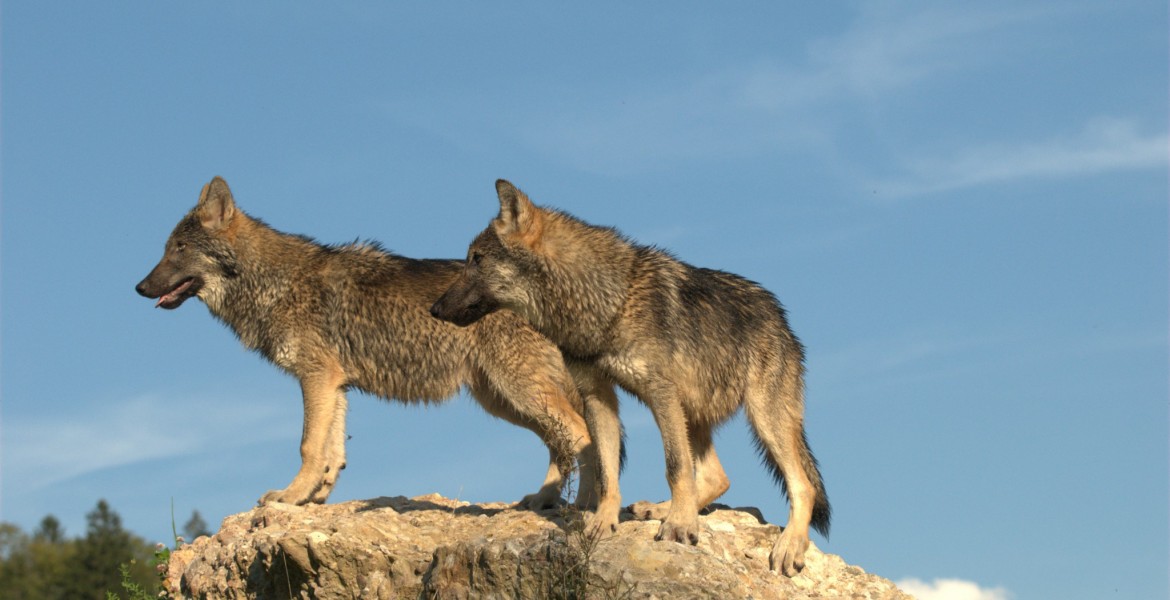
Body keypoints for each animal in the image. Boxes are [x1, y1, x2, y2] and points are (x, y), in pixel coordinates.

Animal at [136, 175, 603, 507]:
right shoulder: (335, 385)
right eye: (166, 248)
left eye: (179, 249)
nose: (139, 287)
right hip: (503, 400)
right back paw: (543, 499)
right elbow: (331, 453)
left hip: (519, 392)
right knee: (558, 442)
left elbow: (307, 445)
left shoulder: (316, 377)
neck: (275, 284)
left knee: (579, 434)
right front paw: (312, 497)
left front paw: (288, 497)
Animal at [432, 178, 833, 575]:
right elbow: (607, 471)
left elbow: (674, 466)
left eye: (476, 260)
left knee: (802, 485)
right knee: (718, 477)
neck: (605, 303)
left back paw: (787, 545)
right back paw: (658, 508)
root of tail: (780, 316)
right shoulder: (598, 396)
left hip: (763, 419)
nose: (434, 309)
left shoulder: (661, 393)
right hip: (696, 413)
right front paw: (604, 522)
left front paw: (679, 527)